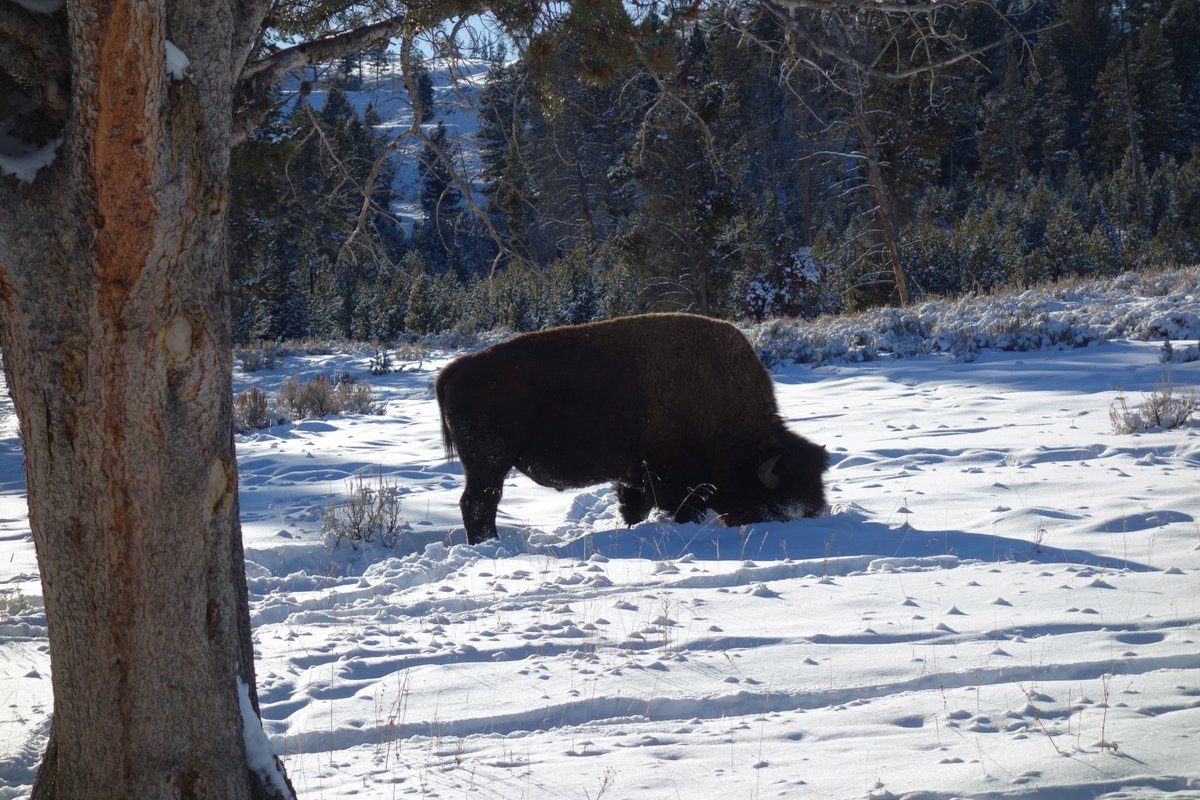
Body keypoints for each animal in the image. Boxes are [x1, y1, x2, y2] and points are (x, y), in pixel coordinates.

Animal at [436, 313, 828, 544]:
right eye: (778, 498)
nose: (812, 517)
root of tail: (453, 370)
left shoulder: (634, 478)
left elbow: (632, 508)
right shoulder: (673, 481)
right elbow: (680, 508)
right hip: (490, 463)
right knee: (479, 503)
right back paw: (489, 543)